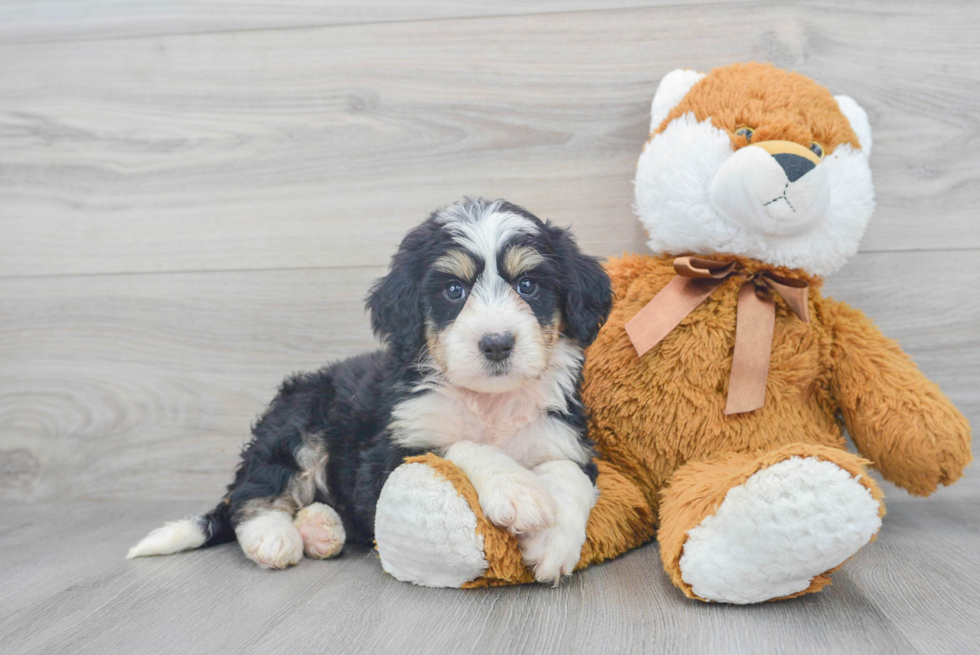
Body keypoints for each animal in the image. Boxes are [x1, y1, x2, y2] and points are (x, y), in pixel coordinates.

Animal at [125, 199, 608, 584]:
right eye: (454, 290)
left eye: (528, 285)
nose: (496, 343)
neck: (488, 400)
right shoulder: (384, 457)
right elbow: (458, 446)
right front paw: (516, 489)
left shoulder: (561, 436)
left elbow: (569, 475)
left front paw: (554, 542)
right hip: (297, 418)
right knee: (253, 492)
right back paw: (275, 537)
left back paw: (320, 527)